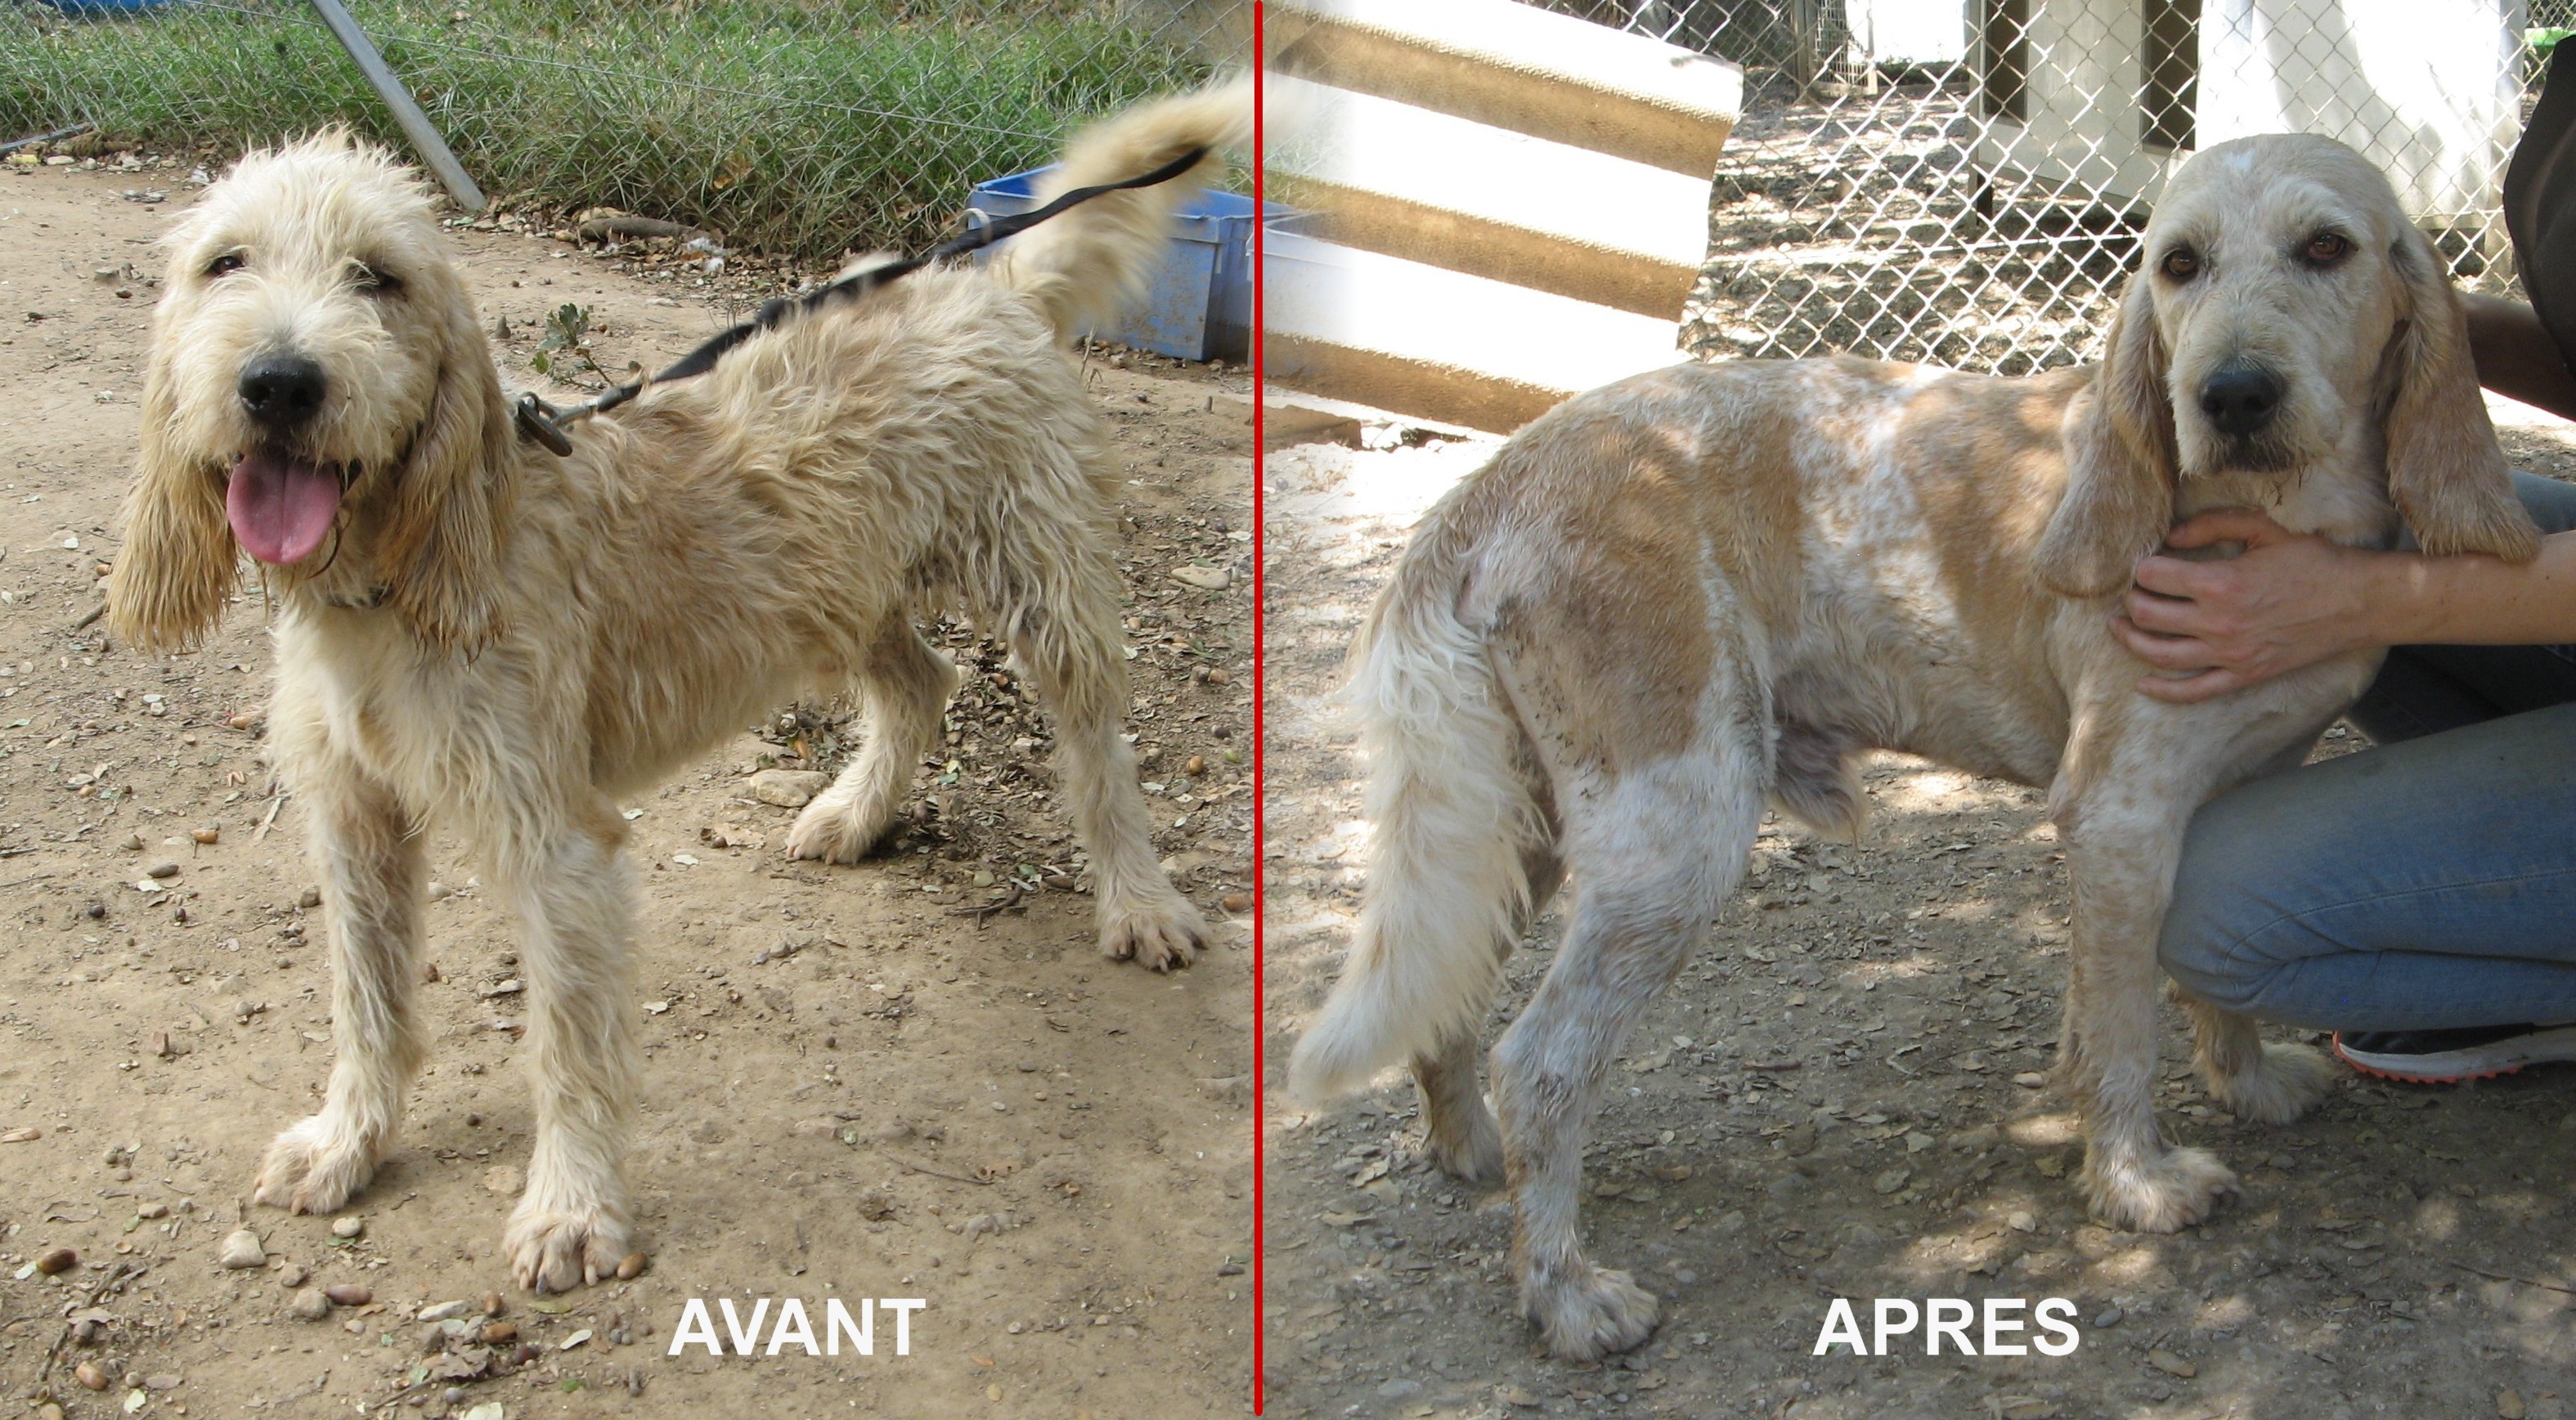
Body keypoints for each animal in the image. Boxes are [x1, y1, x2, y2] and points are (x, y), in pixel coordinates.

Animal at [105, 83, 1251, 1293]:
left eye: (378, 276)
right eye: (226, 263)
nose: (279, 383)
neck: (393, 575)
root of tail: (988, 284)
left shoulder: (557, 842)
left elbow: (566, 1043)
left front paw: (571, 1208)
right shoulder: (354, 819)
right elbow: (365, 1003)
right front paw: (348, 1144)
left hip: (1040, 586)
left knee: (1098, 747)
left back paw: (1138, 899)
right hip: (840, 590)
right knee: (921, 679)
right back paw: (855, 813)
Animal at [1298, 136, 2545, 1371]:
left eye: (2326, 248)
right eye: (2178, 265)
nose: (2230, 396)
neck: (2275, 513)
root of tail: (1494, 480)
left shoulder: (2239, 789)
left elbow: (2199, 984)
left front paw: (2243, 1084)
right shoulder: (2120, 818)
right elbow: (2123, 1031)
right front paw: (2135, 1184)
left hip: (1529, 825)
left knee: (1450, 991)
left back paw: (1464, 1147)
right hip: (1671, 840)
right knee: (1542, 1064)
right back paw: (1564, 1295)